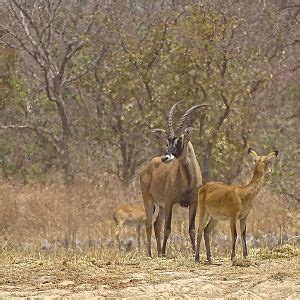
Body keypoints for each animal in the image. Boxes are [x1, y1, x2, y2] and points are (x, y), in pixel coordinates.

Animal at [139, 100, 210, 255]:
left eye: (179, 141)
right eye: (167, 142)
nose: (165, 158)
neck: (188, 180)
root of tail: (147, 167)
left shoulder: (193, 203)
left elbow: (191, 229)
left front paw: (195, 252)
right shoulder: (170, 202)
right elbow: (168, 228)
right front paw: (165, 253)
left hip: (161, 205)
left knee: (156, 224)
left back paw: (158, 252)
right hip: (149, 200)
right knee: (149, 224)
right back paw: (151, 254)